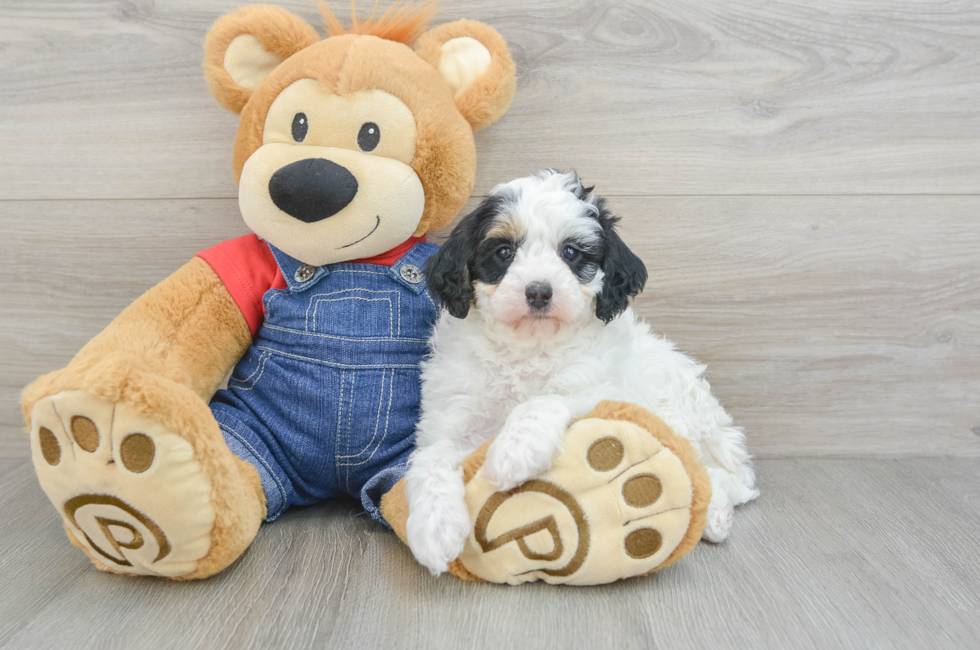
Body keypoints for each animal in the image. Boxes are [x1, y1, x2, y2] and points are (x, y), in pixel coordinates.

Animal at [402, 168, 760, 572]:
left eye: (571, 253)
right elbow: (429, 458)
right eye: (504, 252)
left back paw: (715, 516)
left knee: (711, 472)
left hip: (675, 410)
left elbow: (547, 400)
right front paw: (434, 529)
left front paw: (514, 451)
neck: (529, 348)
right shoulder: (450, 417)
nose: (538, 292)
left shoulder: (602, 389)